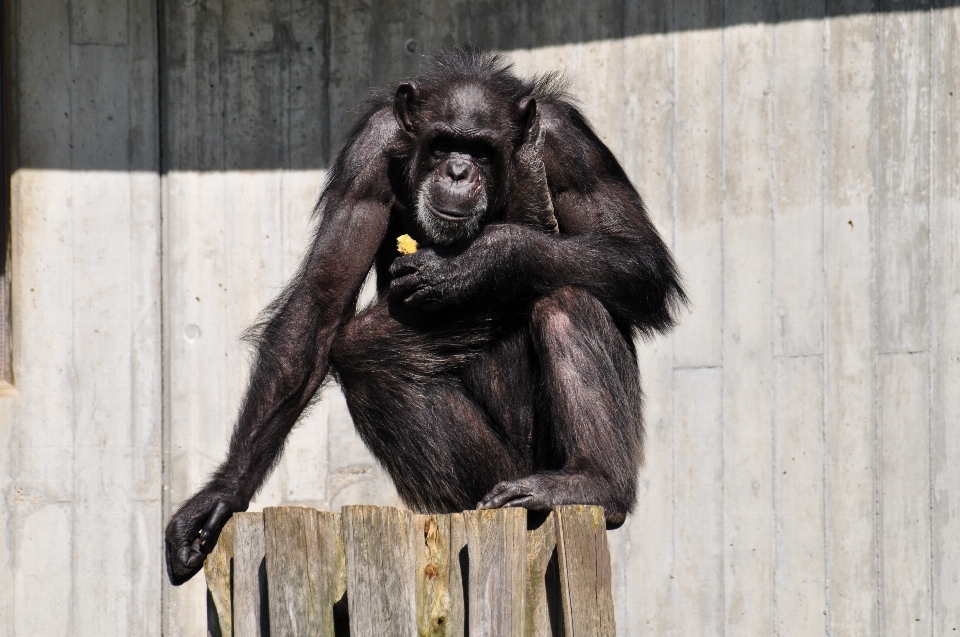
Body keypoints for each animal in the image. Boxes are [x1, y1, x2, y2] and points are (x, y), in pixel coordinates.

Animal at [167, 48, 688, 588]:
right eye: (442, 145)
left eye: (480, 151)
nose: (458, 171)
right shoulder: (366, 159)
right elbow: (320, 300)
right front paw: (221, 496)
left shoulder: (574, 148)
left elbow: (640, 259)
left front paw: (479, 262)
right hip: (501, 474)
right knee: (367, 354)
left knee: (568, 298)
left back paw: (593, 483)